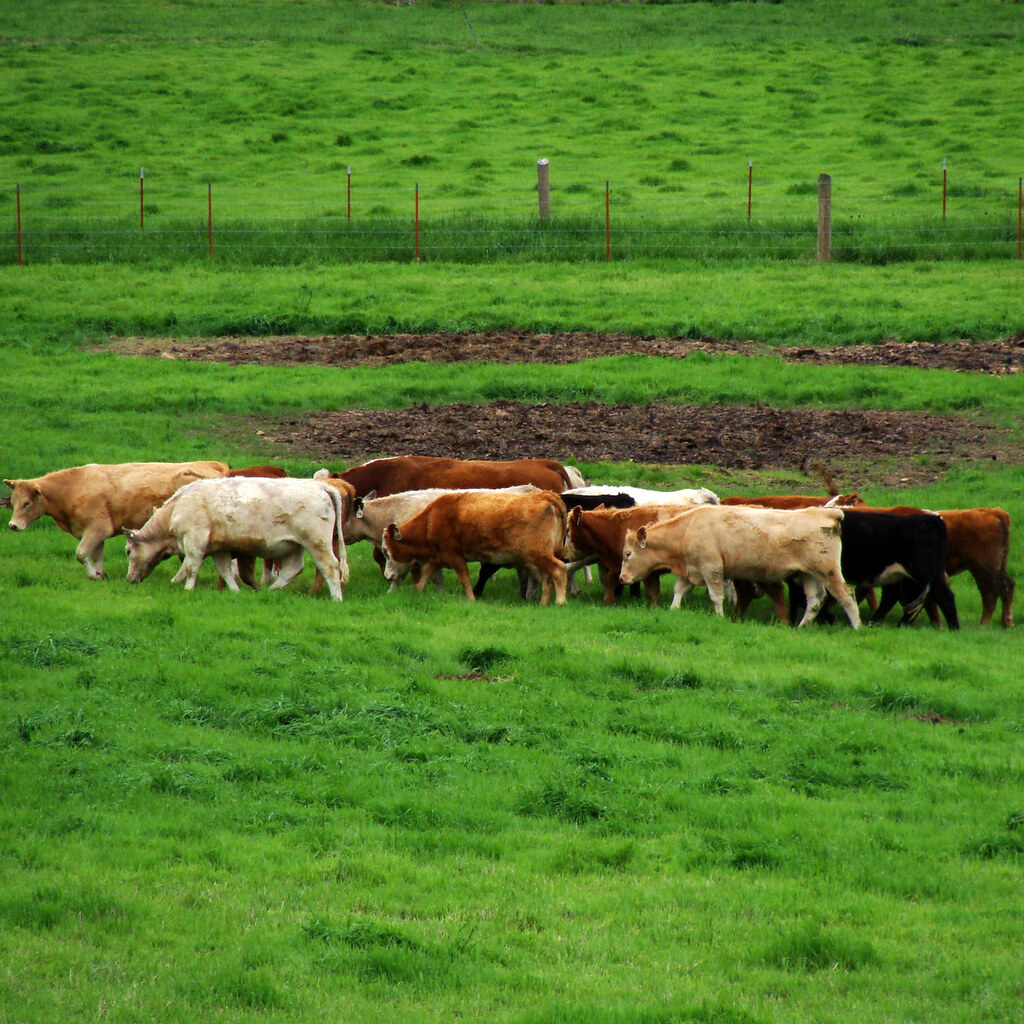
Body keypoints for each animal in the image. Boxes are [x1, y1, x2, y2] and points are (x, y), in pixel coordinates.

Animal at [4, 461, 229, 579]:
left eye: (27, 503)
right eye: (13, 502)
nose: (13, 525)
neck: (75, 486)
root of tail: (213, 465)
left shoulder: (97, 528)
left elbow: (81, 553)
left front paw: (93, 575)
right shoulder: (94, 533)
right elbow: (97, 555)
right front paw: (100, 573)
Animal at [124, 477, 349, 600]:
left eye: (127, 552)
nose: (129, 580)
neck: (178, 506)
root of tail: (320, 486)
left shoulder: (195, 538)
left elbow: (192, 565)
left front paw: (188, 588)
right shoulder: (219, 547)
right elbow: (225, 570)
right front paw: (235, 591)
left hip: (317, 543)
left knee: (330, 567)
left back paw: (336, 598)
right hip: (295, 545)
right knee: (293, 568)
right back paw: (270, 591)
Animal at [380, 490, 569, 605]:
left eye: (386, 551)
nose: (387, 576)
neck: (431, 519)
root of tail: (546, 496)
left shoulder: (454, 555)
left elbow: (464, 578)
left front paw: (471, 599)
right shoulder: (438, 556)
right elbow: (426, 572)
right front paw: (417, 592)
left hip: (539, 555)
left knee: (559, 570)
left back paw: (560, 601)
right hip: (542, 557)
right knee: (548, 579)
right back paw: (543, 603)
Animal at [617, 505, 861, 628]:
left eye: (628, 554)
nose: (621, 578)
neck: (688, 528)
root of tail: (827, 512)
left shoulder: (712, 568)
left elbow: (716, 596)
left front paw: (719, 617)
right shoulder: (692, 570)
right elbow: (679, 589)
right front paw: (673, 609)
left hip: (828, 571)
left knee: (846, 596)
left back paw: (857, 627)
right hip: (809, 574)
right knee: (815, 600)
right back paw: (801, 627)